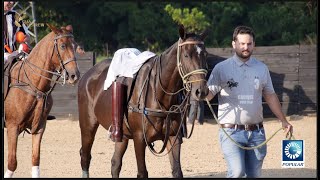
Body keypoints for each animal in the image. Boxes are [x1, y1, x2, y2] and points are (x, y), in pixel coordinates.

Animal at [3, 23, 80, 177]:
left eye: (75, 46)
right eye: (62, 46)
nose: (74, 75)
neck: (33, 84)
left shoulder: (39, 128)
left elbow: (35, 160)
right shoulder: (12, 126)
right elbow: (12, 163)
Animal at [77, 24, 208, 178]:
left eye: (205, 54)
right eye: (186, 55)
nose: (201, 91)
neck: (159, 93)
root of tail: (87, 75)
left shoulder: (173, 138)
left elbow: (177, 171)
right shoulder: (139, 139)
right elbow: (142, 172)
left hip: (121, 134)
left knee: (115, 163)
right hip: (88, 125)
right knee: (85, 157)